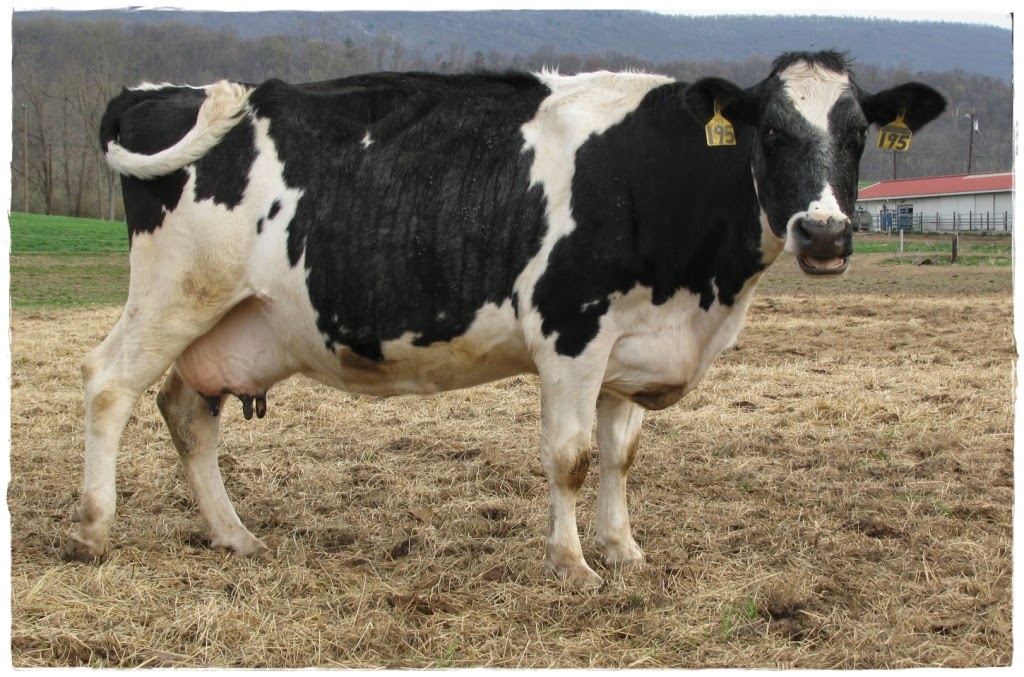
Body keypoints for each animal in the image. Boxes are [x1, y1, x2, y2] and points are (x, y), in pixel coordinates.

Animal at [64, 51, 945, 587]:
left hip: (235, 319)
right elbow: (571, 456)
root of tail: (156, 92)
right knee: (110, 383)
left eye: (858, 136)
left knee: (188, 410)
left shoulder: (632, 344)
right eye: (772, 131)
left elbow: (621, 456)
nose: (824, 233)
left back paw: (233, 534)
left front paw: (624, 550)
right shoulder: (570, 329)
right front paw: (572, 563)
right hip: (177, 291)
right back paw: (96, 530)